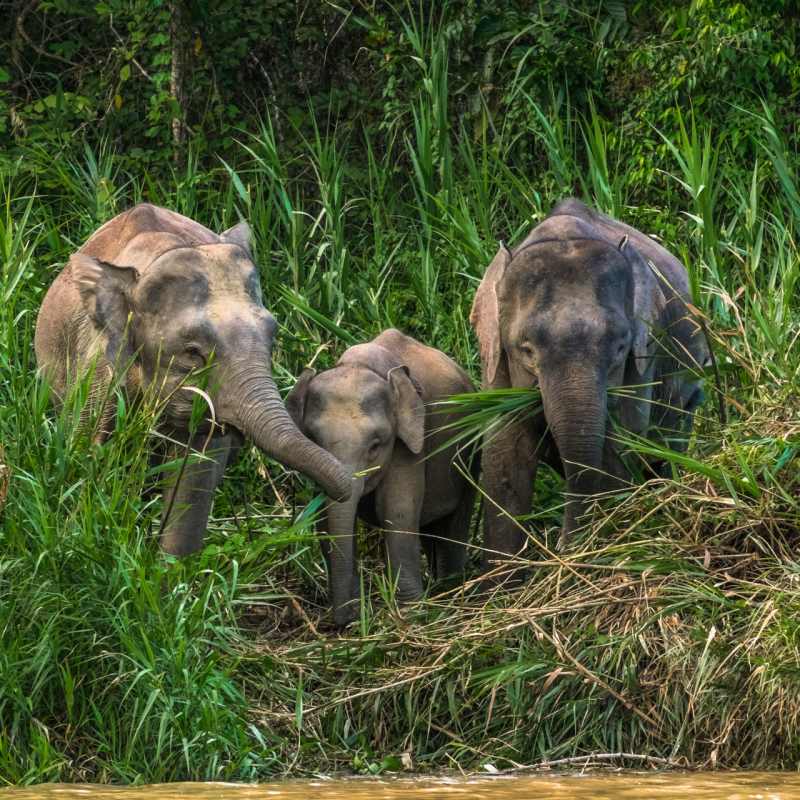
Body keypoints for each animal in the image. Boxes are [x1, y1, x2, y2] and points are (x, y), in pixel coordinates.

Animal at [34, 203, 351, 555]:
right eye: (192, 352)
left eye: (273, 334)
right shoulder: (98, 369)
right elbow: (90, 450)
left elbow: (195, 474)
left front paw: (171, 565)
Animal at [286, 329, 477, 626]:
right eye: (313, 439)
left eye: (375, 446)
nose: (344, 620)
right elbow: (325, 521)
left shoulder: (409, 442)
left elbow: (397, 510)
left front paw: (411, 613)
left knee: (454, 524)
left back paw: (451, 587)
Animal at [470, 198, 709, 558]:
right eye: (526, 350)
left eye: (621, 346)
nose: (560, 546)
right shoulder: (494, 359)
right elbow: (504, 456)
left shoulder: (645, 353)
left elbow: (620, 443)